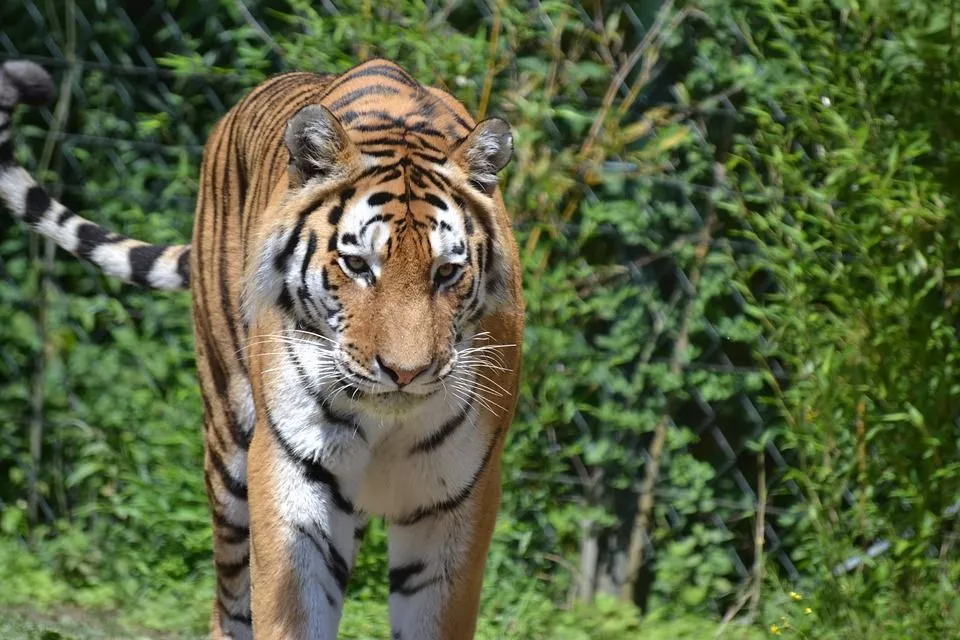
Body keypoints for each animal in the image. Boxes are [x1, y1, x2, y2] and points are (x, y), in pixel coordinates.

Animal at [0, 56, 520, 640]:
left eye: (447, 272)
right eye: (357, 265)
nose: (404, 373)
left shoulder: (457, 494)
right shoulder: (294, 470)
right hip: (228, 441)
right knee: (229, 601)